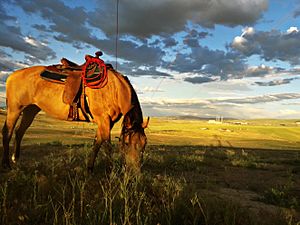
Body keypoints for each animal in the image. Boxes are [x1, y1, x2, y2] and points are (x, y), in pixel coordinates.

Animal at [1, 51, 149, 173]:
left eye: (144, 144)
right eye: (127, 143)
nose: (135, 172)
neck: (115, 89)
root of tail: (12, 75)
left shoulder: (108, 122)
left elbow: (97, 143)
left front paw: (90, 169)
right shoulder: (104, 120)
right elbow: (107, 146)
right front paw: (111, 172)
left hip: (30, 110)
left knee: (19, 131)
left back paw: (15, 159)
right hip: (15, 109)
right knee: (7, 132)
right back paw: (6, 165)